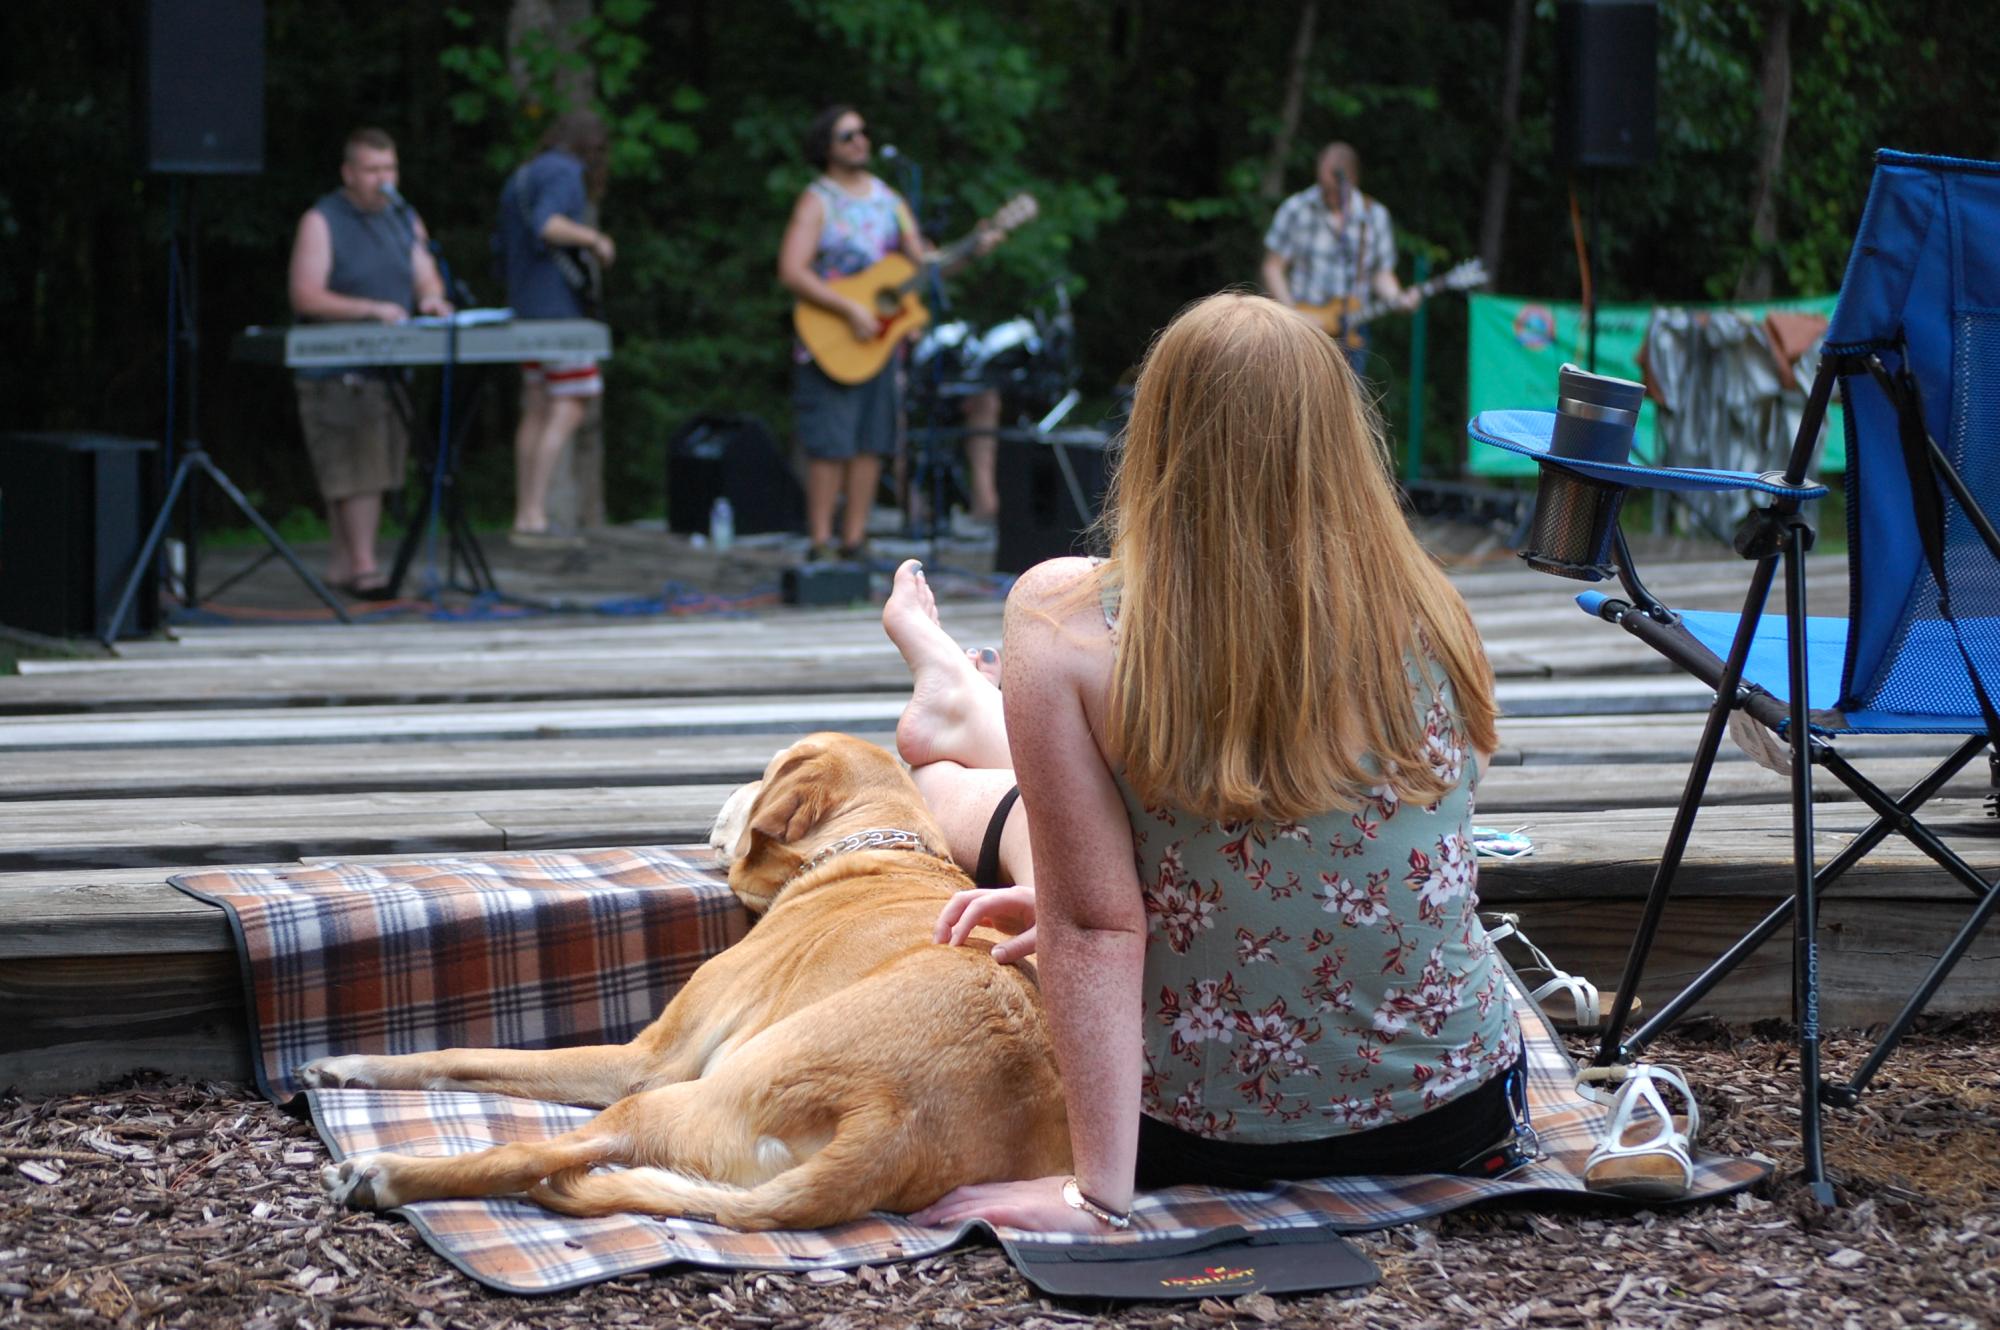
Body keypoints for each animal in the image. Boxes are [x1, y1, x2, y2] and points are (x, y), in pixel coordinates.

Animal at [302, 732, 1072, 1232]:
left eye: (765, 768)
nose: (728, 790)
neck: (881, 849)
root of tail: (890, 1127)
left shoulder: (643, 1060)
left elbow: (463, 1055)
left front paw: (349, 1065)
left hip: (657, 1102)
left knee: (533, 1154)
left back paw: (381, 1175)